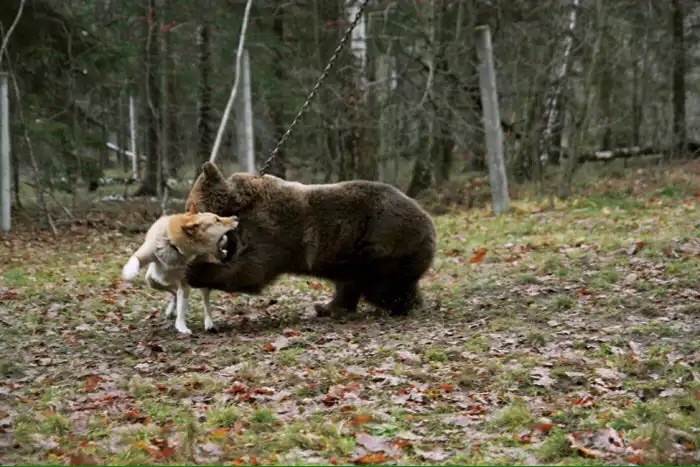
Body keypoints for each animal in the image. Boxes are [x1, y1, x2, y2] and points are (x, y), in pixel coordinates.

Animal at [186, 162, 438, 318]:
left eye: (189, 205)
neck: (240, 206)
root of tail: (429, 221)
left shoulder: (271, 232)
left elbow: (250, 270)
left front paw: (195, 271)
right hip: (352, 253)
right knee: (352, 283)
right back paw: (327, 308)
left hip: (381, 243)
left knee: (378, 285)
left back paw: (402, 305)